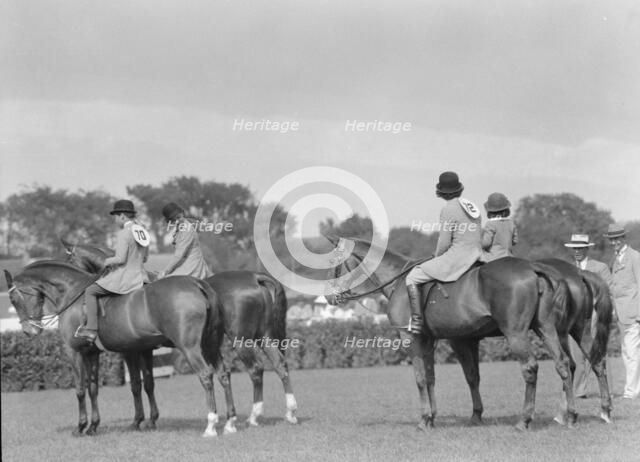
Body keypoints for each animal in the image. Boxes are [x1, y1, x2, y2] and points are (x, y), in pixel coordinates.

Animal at [4, 261, 238, 437]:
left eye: (13, 299)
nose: (29, 331)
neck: (73, 293)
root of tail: (197, 284)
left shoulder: (75, 352)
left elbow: (80, 390)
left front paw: (81, 426)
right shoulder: (95, 353)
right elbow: (97, 388)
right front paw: (94, 426)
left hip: (191, 349)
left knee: (206, 375)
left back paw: (211, 425)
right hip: (211, 346)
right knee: (223, 374)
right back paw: (230, 422)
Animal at [60, 238, 298, 426]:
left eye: (70, 260)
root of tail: (255, 277)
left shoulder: (131, 351)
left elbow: (137, 385)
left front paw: (139, 420)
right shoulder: (144, 349)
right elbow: (147, 383)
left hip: (240, 341)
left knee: (256, 370)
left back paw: (254, 416)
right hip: (262, 336)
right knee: (279, 365)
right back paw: (289, 412)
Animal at [325, 237, 610, 431]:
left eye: (334, 263)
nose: (328, 296)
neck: (399, 281)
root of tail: (534, 269)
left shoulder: (417, 340)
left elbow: (422, 378)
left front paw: (424, 419)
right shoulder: (440, 341)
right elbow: (444, 377)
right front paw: (443, 417)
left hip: (518, 334)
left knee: (532, 367)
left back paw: (526, 419)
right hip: (556, 329)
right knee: (577, 363)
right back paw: (579, 414)